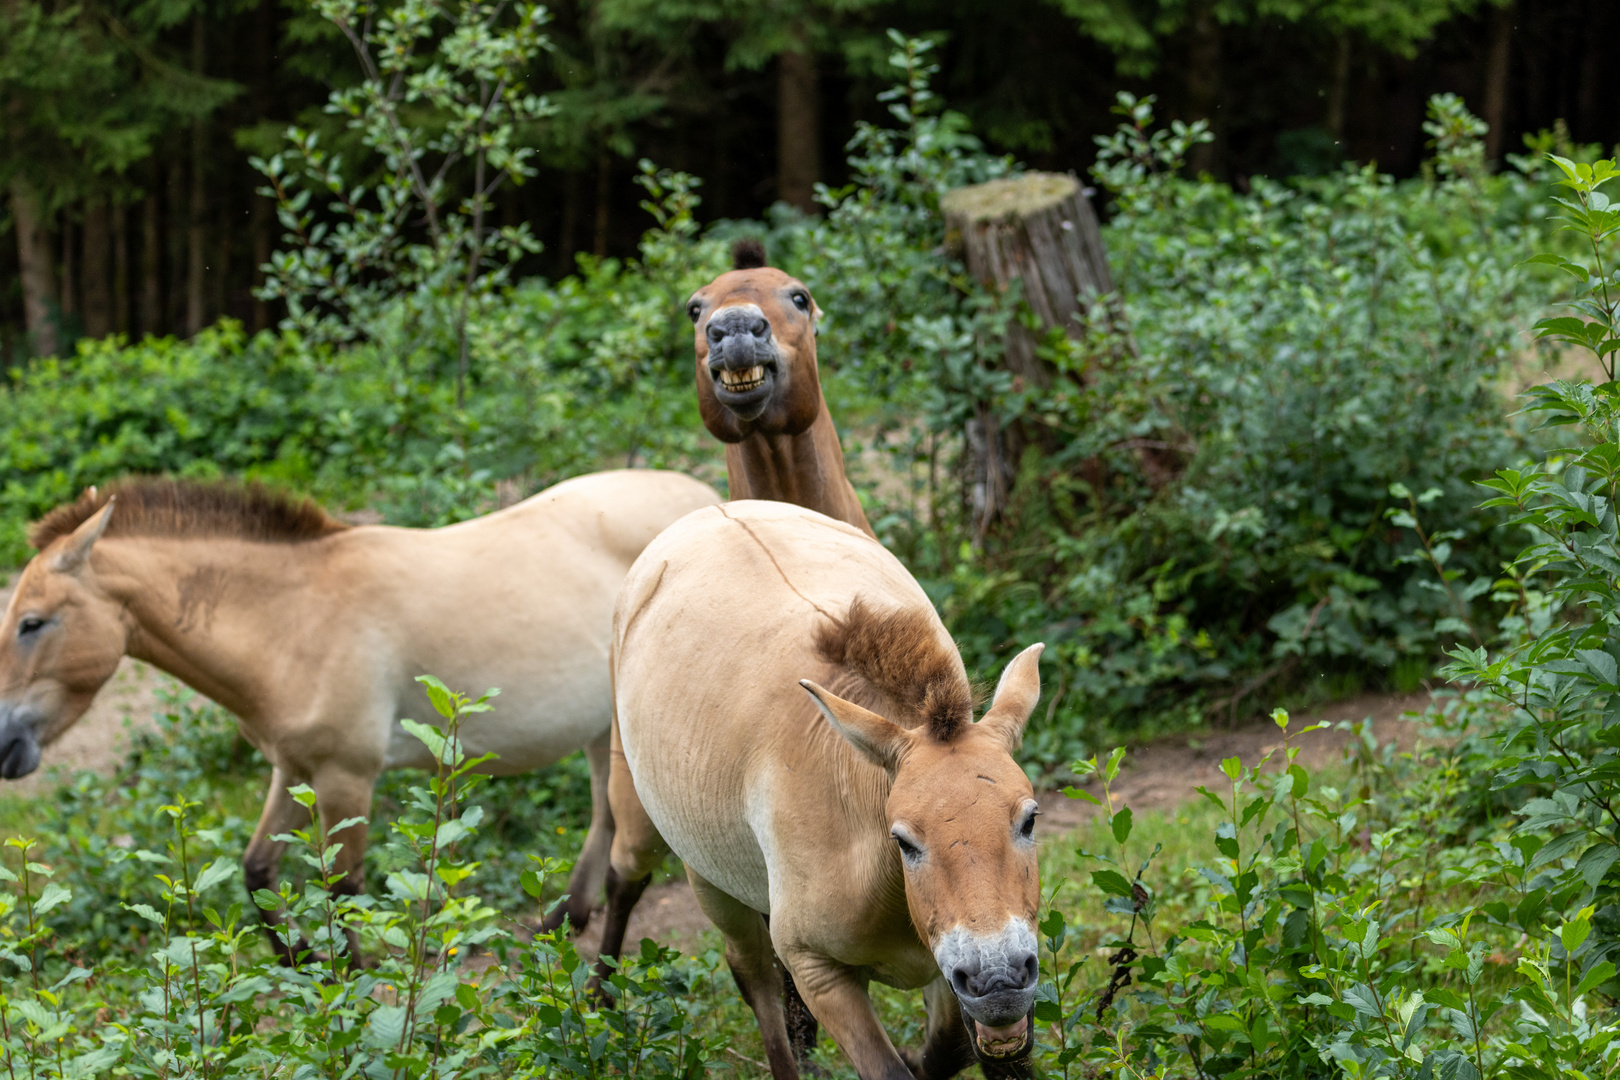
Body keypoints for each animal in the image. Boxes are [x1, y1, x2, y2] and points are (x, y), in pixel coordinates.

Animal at [0, 469, 716, 958]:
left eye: (33, 623)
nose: (4, 744)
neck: (292, 619)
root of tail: (709, 500)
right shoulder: (295, 769)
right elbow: (257, 871)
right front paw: (298, 961)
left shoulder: (347, 777)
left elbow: (342, 893)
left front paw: (348, 988)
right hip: (601, 730)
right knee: (603, 819)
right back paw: (560, 922)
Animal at [609, 501, 1049, 1080]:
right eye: (905, 841)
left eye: (1029, 820)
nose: (998, 980)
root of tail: (712, 510)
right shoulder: (818, 970)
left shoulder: (945, 970)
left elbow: (947, 1050)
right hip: (694, 869)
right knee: (745, 967)